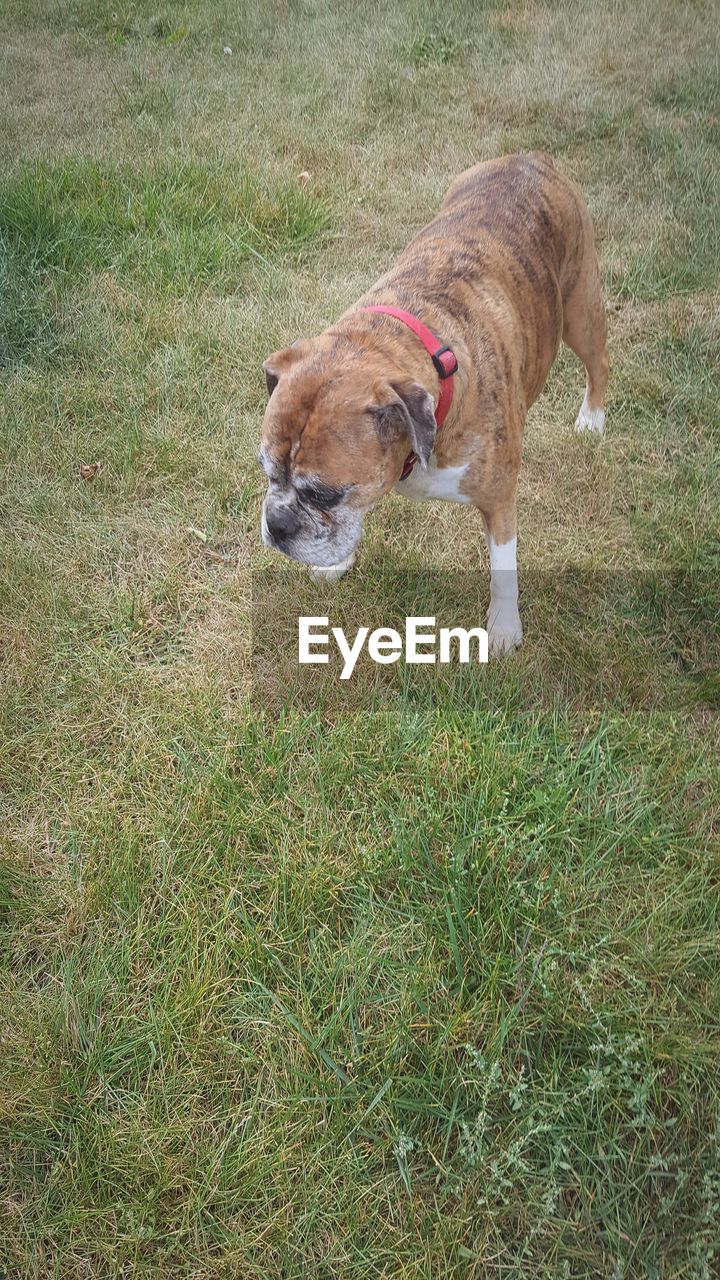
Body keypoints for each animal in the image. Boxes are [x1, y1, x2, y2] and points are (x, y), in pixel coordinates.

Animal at [257, 152, 604, 650]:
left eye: (323, 493)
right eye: (267, 472)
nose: (277, 524)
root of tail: (529, 157)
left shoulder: (499, 499)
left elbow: (503, 568)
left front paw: (504, 627)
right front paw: (336, 562)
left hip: (581, 311)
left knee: (600, 361)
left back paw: (593, 418)